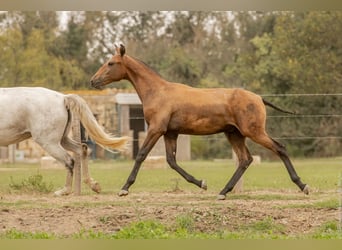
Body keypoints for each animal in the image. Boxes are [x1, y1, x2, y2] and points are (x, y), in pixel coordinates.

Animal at [0, 87, 128, 195]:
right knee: (82, 149)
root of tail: (63, 98)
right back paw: (92, 185)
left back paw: (64, 191)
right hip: (62, 140)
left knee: (69, 161)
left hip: (49, 142)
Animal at [89, 43, 308, 199]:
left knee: (279, 148)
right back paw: (223, 192)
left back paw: (303, 185)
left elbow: (141, 155)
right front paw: (202, 183)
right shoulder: (170, 133)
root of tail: (259, 98)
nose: (93, 80)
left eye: (111, 63)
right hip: (234, 134)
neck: (158, 92)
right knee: (245, 160)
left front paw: (124, 188)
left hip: (254, 132)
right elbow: (172, 161)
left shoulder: (156, 129)